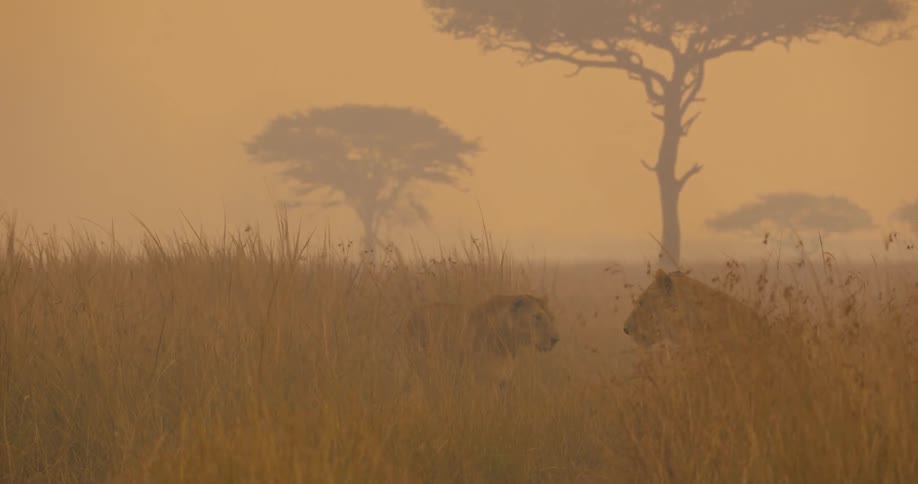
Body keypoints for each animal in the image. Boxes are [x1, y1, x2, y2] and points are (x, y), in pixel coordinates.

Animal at [400, 294, 560, 391]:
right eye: (537, 317)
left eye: (552, 317)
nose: (555, 339)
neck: (510, 344)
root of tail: (410, 314)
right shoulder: (485, 383)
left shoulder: (503, 382)